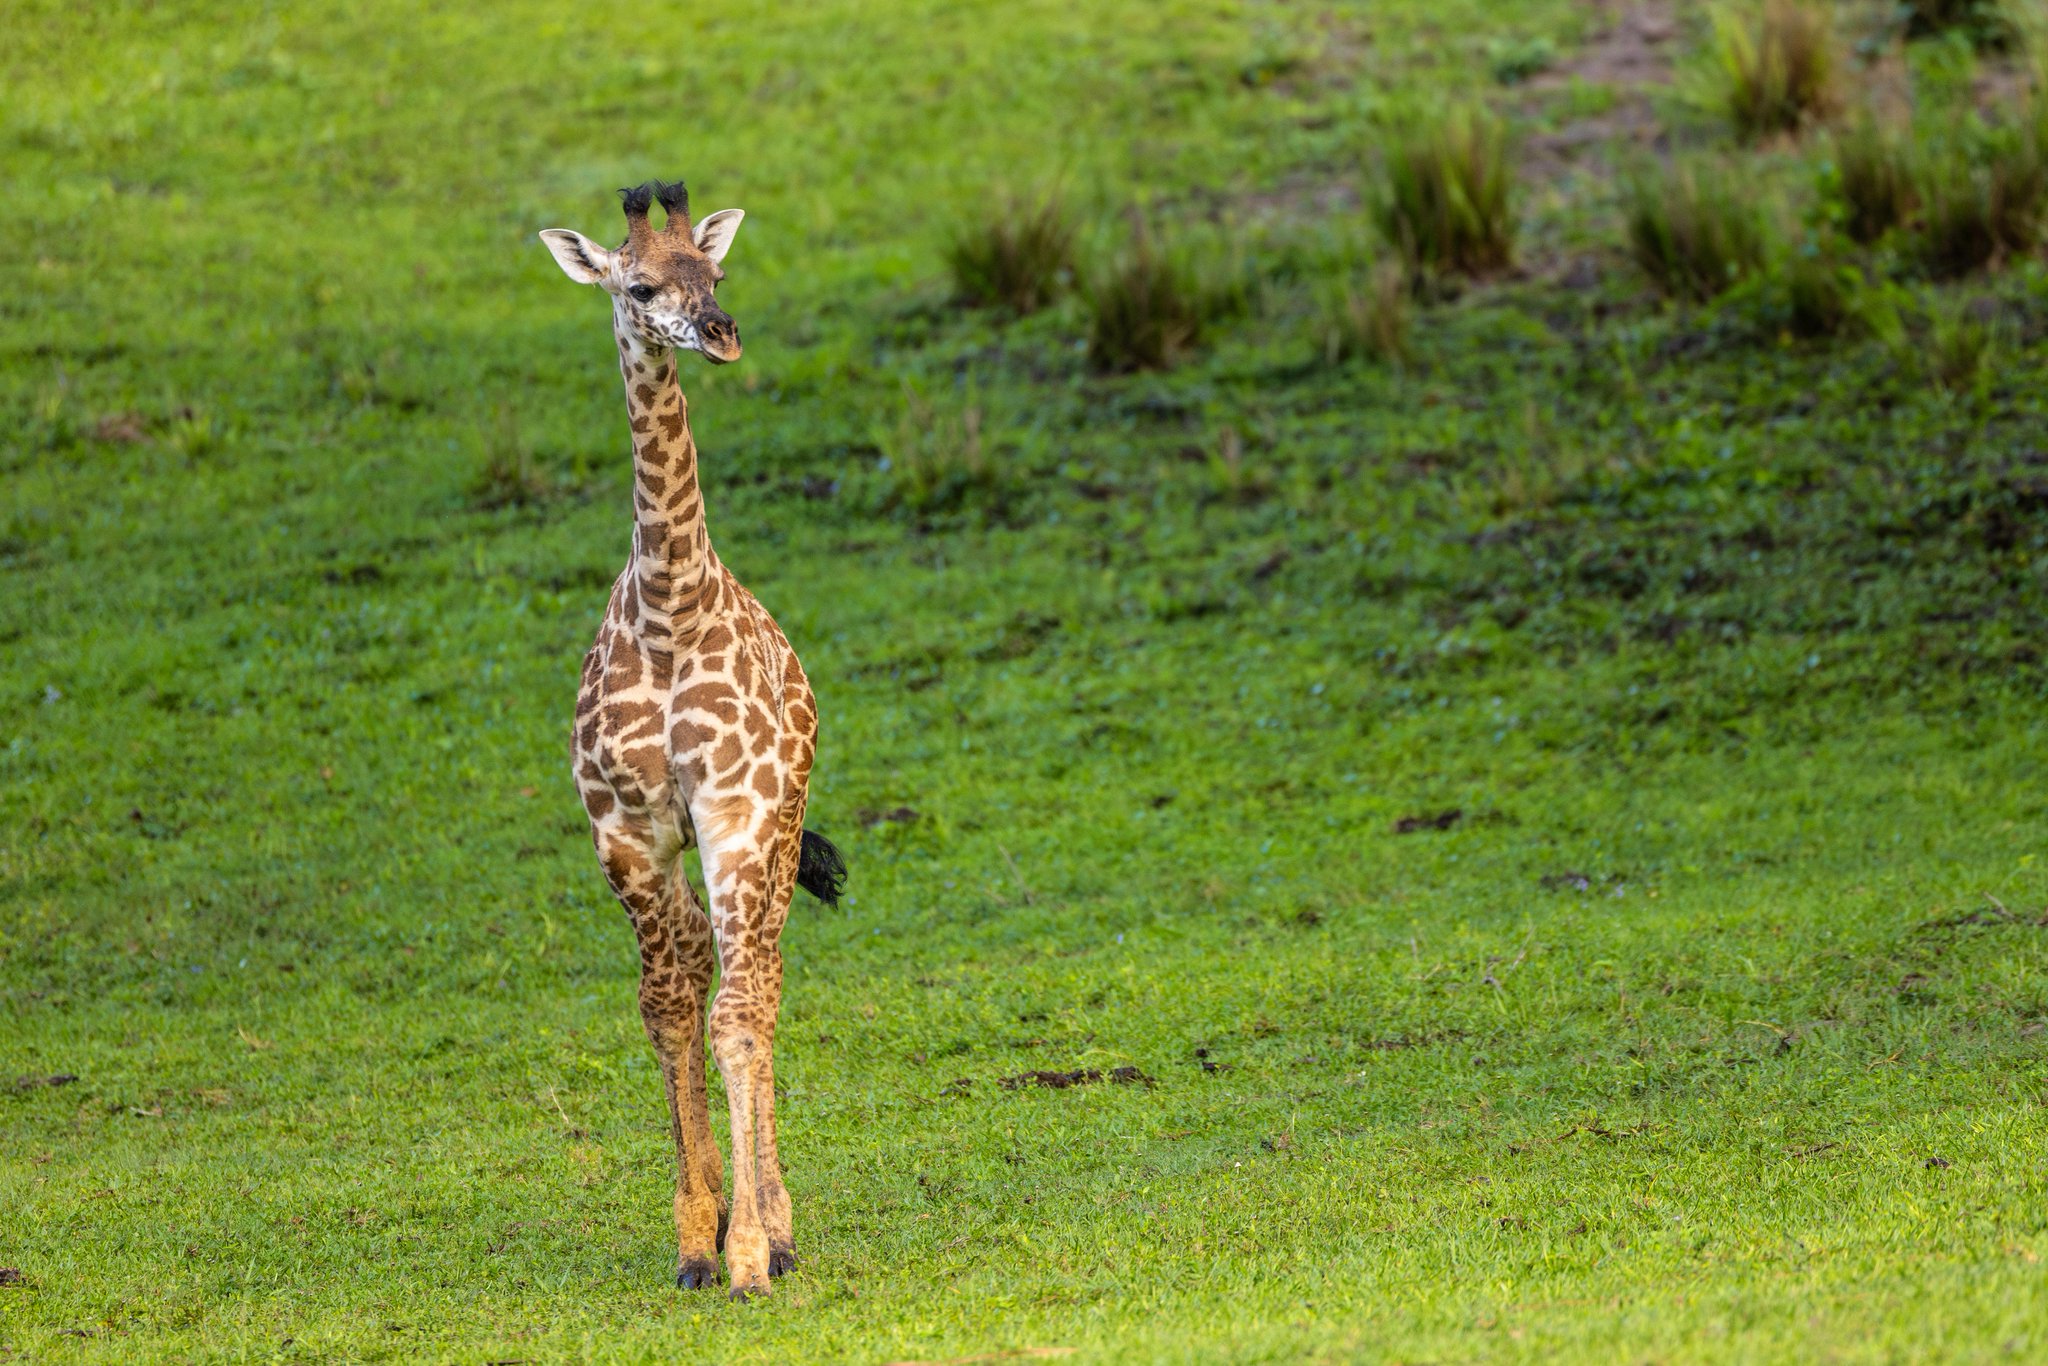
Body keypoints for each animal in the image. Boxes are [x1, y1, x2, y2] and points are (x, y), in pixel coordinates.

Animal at [538, 179, 846, 1301]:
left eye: (715, 272)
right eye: (638, 285)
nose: (718, 331)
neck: (672, 609)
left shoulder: (737, 815)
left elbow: (733, 1017)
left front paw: (752, 1249)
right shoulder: (627, 835)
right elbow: (667, 1007)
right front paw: (694, 1238)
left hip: (777, 830)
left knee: (760, 984)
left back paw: (780, 1227)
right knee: (713, 981)